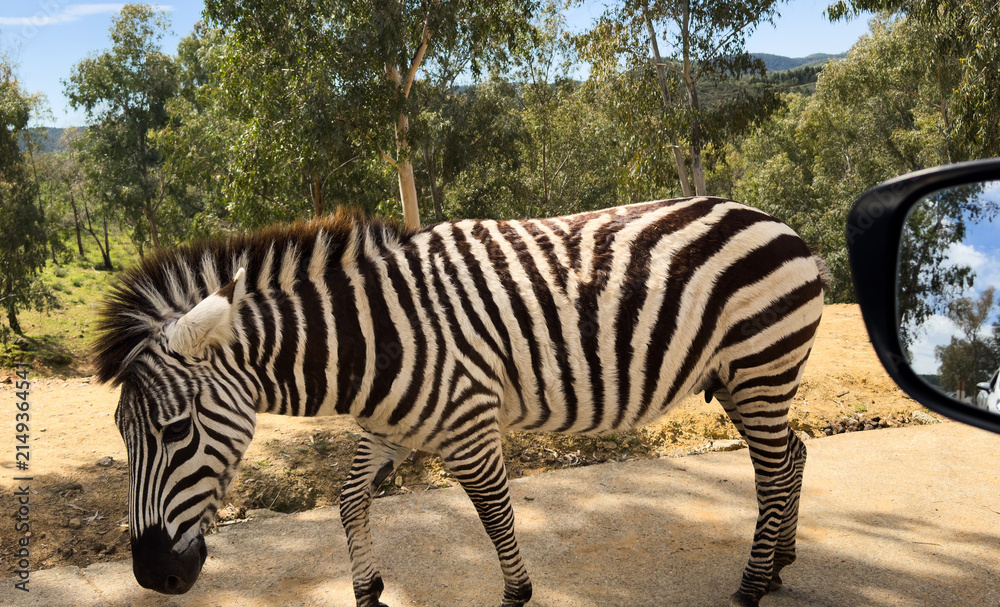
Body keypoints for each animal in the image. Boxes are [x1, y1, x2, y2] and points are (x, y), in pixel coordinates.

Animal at [94, 197, 825, 607]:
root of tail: (776, 221)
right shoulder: (385, 427)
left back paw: (752, 584)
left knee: (770, 470)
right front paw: (368, 591)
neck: (371, 340)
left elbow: (496, 516)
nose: (152, 576)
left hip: (761, 365)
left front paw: (516, 596)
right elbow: (349, 501)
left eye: (176, 429)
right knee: (791, 455)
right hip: (741, 376)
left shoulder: (468, 425)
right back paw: (780, 565)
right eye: (124, 437)